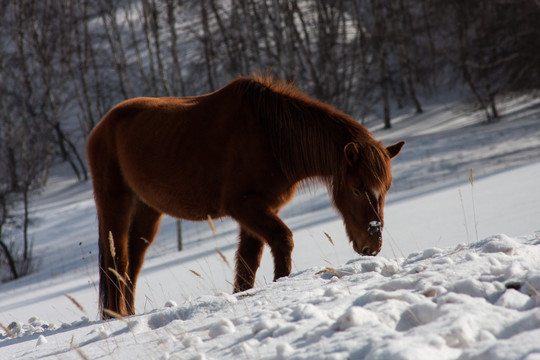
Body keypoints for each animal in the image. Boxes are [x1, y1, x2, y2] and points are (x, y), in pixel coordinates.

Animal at [86, 75, 402, 318]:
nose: (372, 244)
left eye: (386, 188)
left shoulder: (259, 210)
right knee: (118, 261)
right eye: (356, 188)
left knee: (134, 261)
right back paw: (116, 317)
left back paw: (128, 313)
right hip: (115, 203)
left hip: (148, 209)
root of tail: (99, 129)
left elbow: (246, 267)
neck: (272, 137)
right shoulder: (244, 206)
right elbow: (282, 241)